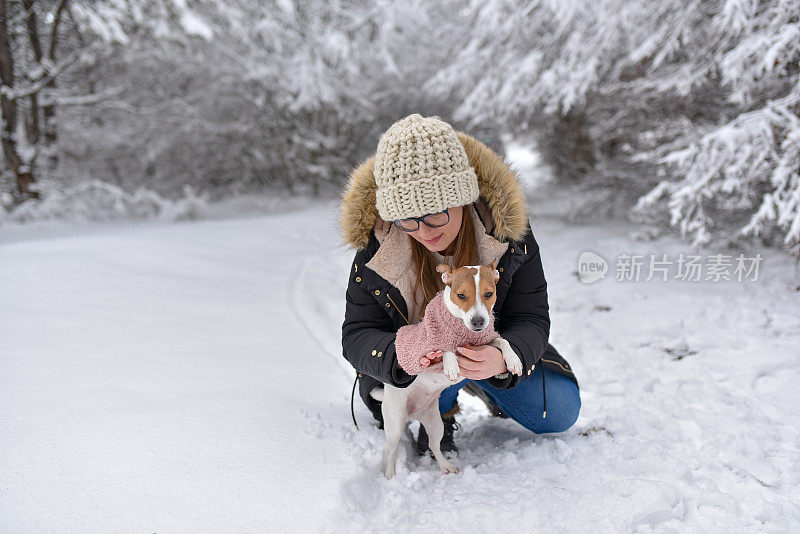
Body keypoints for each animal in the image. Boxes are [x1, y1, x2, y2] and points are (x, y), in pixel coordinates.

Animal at [370, 260, 524, 482]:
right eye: (461, 295)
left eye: (489, 293)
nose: (478, 322)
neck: (463, 330)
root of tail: (413, 414)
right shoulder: (428, 348)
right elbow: (445, 348)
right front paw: (451, 365)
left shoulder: (486, 341)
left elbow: (502, 341)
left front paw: (512, 361)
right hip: (395, 421)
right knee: (390, 450)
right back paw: (390, 476)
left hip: (436, 423)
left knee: (434, 445)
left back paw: (446, 466)